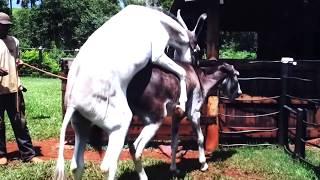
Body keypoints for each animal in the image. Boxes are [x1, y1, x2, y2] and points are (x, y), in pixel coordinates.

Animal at [53, 4, 201, 180]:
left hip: (81, 127)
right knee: (107, 165)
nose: (190, 62)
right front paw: (183, 101)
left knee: (77, 165)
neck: (155, 18)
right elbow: (181, 72)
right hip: (120, 125)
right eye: (195, 48)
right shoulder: (158, 55)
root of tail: (73, 102)